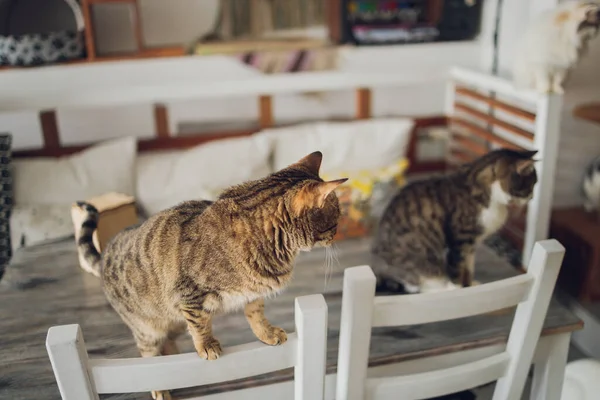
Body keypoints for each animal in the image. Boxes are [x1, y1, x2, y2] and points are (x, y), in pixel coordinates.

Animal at [77, 151, 344, 400]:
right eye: (335, 219)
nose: (337, 235)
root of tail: (104, 255)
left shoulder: (254, 293)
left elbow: (256, 315)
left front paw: (266, 333)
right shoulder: (188, 294)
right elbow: (199, 324)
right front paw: (206, 345)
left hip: (171, 320)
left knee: (168, 341)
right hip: (147, 328)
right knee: (148, 355)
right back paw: (160, 386)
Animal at [372, 149, 536, 294]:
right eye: (531, 185)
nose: (533, 197)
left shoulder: (471, 244)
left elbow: (468, 267)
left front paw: (469, 285)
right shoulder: (460, 241)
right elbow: (457, 268)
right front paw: (458, 290)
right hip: (423, 257)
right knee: (420, 284)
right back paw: (444, 289)